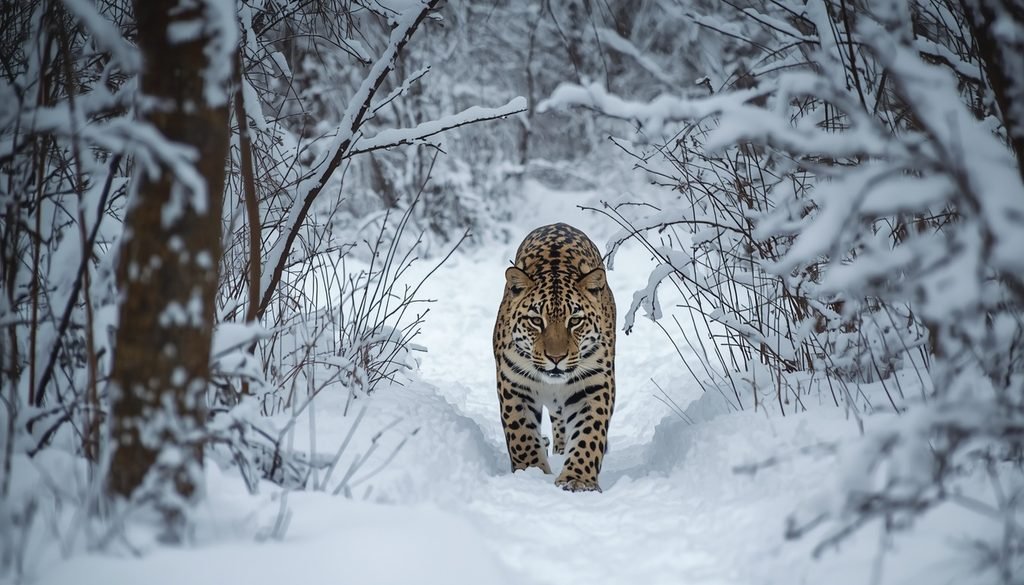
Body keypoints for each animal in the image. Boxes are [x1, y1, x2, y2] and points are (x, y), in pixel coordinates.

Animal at [493, 223, 616, 492]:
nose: (556, 358)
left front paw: (578, 478)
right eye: (536, 321)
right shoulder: (513, 382)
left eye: (575, 321)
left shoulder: (595, 382)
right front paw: (531, 472)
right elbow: (521, 434)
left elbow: (589, 433)